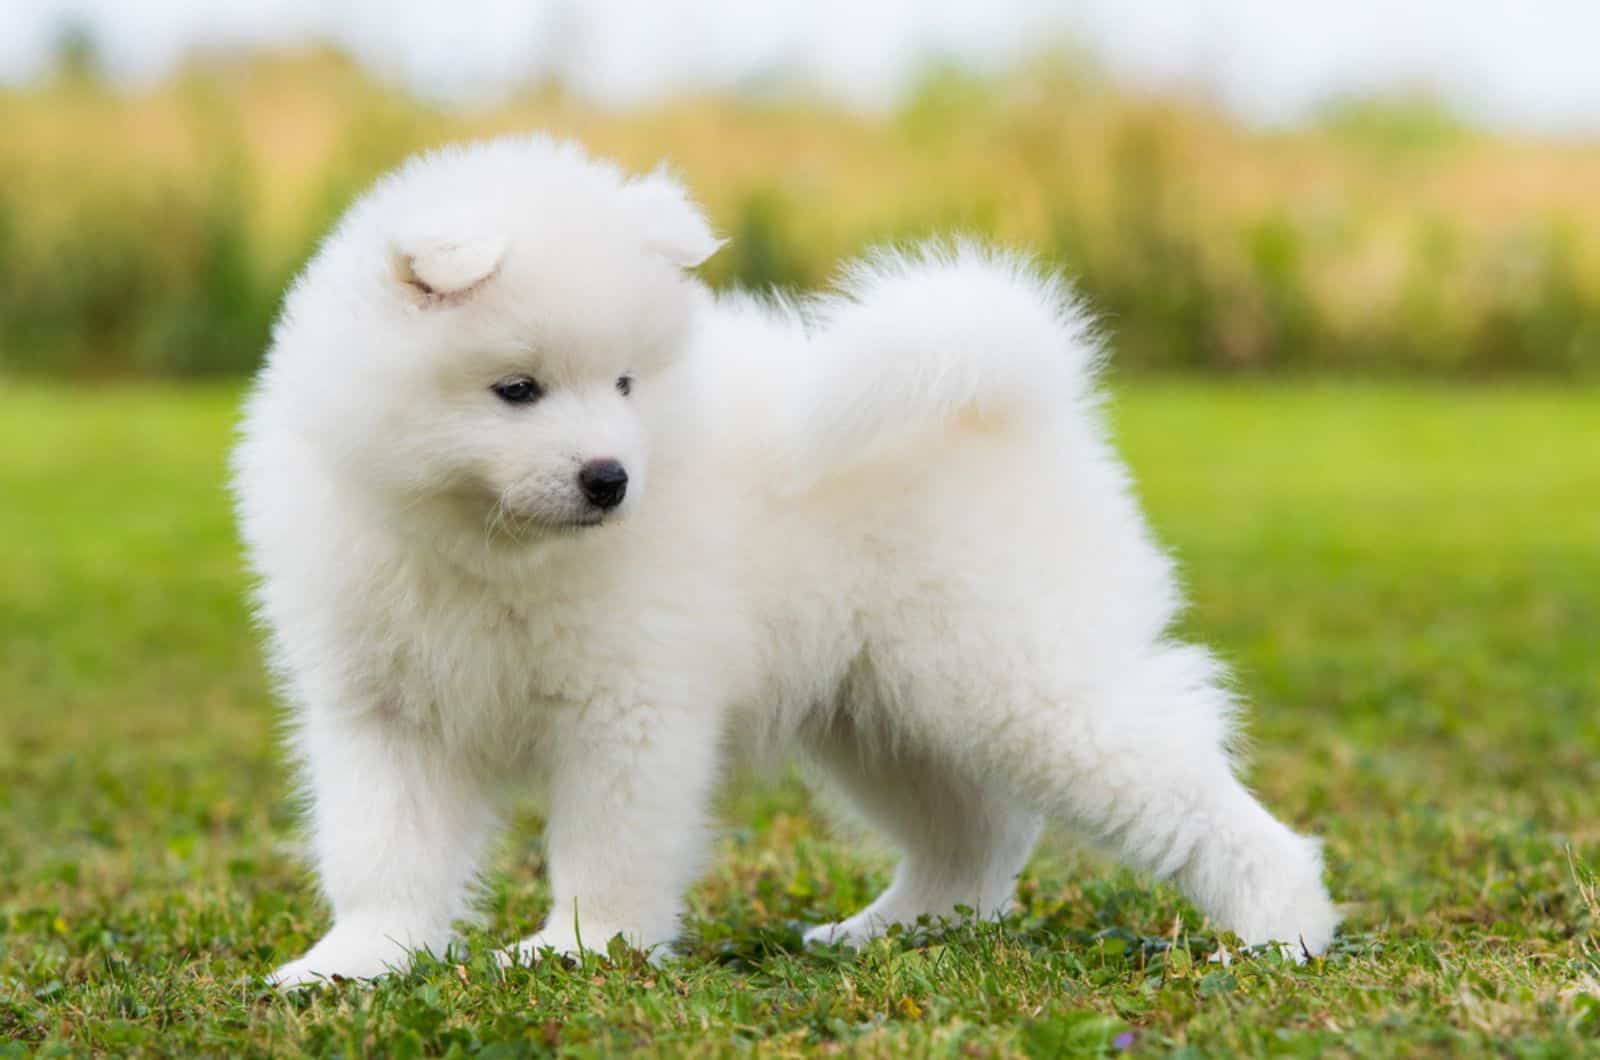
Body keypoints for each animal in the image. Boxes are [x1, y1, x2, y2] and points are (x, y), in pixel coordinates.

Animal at [233, 135, 1337, 986]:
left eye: (625, 383)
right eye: (517, 389)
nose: (609, 479)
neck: (488, 547)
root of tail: (1018, 396)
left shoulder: (629, 703)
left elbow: (606, 845)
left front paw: (579, 951)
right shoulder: (384, 710)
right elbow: (384, 852)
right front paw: (358, 960)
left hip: (1026, 679)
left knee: (1179, 791)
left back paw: (1279, 928)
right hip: (887, 711)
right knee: (972, 837)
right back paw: (892, 929)